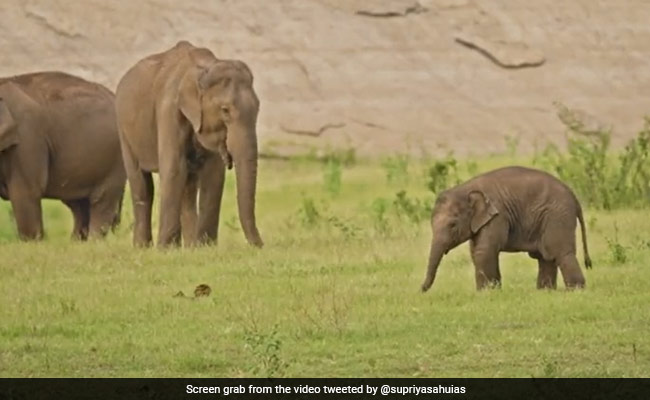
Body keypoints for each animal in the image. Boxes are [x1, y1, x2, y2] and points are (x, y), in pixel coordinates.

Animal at [0, 72, 125, 240]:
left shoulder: (27, 139)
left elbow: (26, 192)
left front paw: (31, 242)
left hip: (116, 159)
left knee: (101, 201)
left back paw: (94, 241)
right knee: (79, 204)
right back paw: (76, 242)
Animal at [115, 40, 263, 248]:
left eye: (258, 108)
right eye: (225, 110)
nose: (261, 246)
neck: (204, 68)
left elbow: (214, 174)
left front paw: (206, 247)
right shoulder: (168, 110)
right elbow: (174, 169)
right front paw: (166, 249)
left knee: (188, 189)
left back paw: (189, 246)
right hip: (124, 130)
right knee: (142, 186)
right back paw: (143, 247)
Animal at [420, 166, 592, 292]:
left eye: (452, 225)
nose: (421, 289)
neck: (467, 189)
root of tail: (574, 197)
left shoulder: (498, 215)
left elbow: (484, 251)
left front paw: (485, 293)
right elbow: (476, 251)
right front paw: (495, 290)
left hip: (557, 216)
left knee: (560, 253)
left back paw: (575, 291)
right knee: (546, 257)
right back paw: (545, 291)